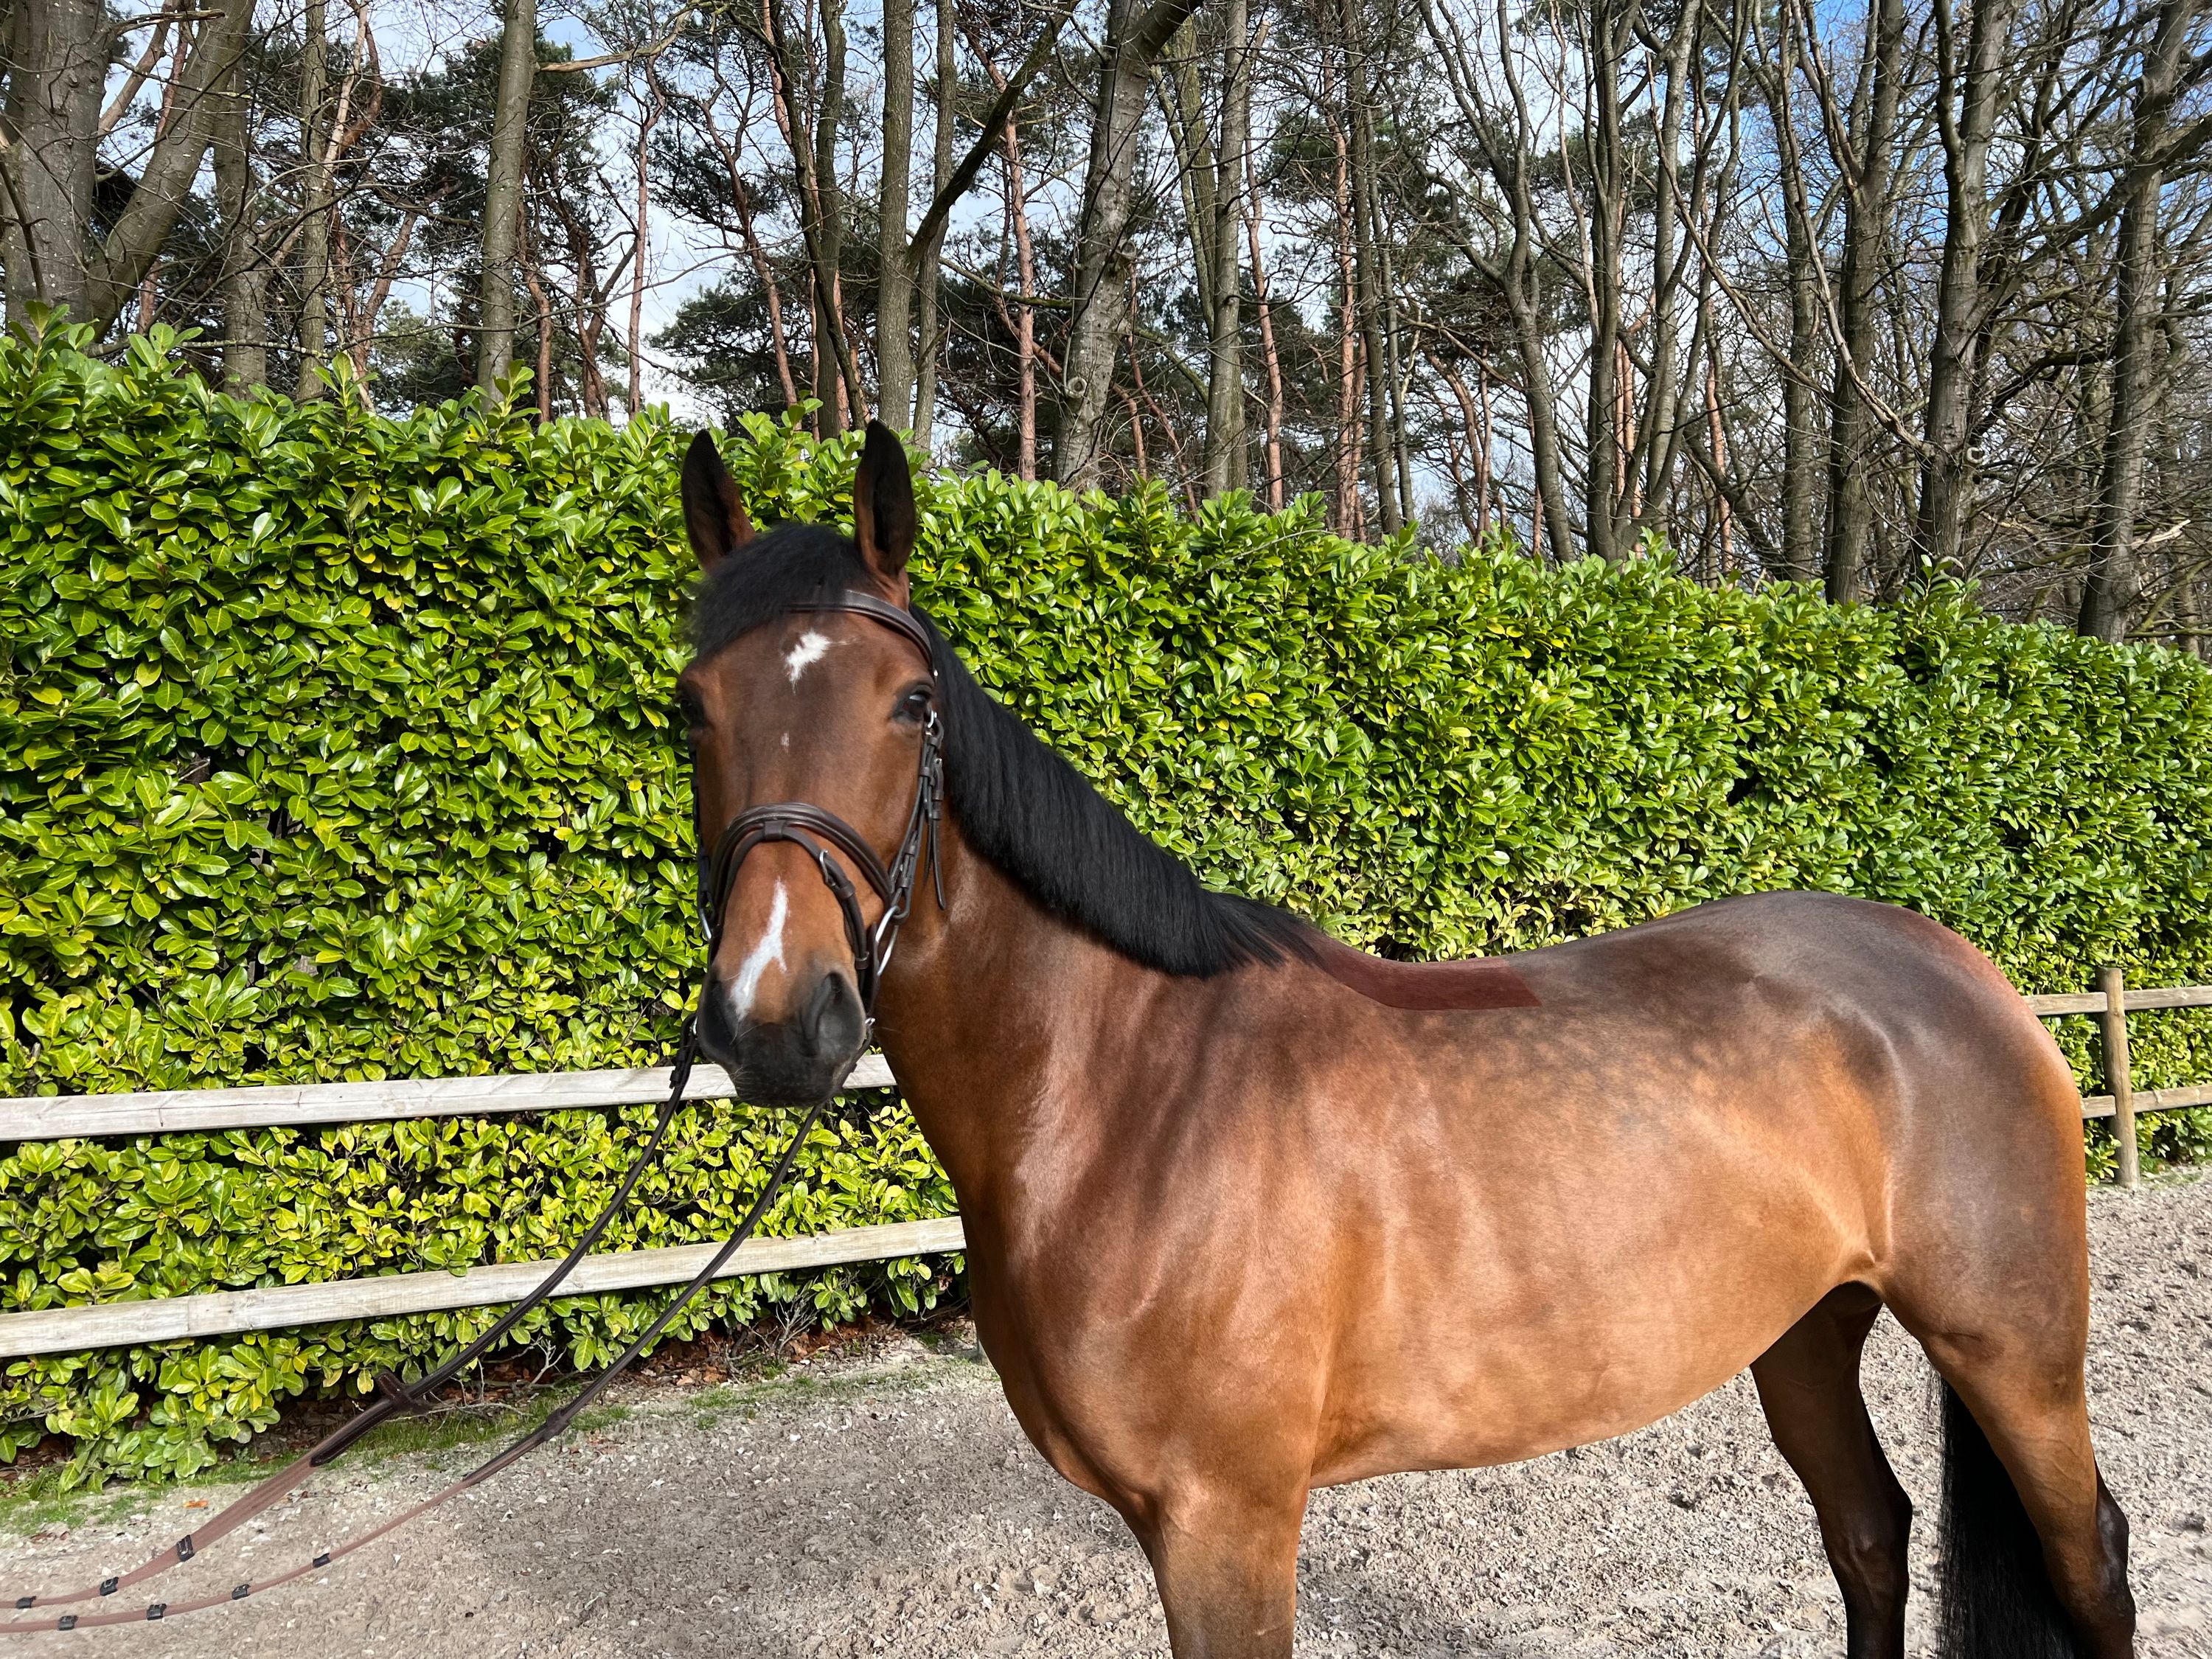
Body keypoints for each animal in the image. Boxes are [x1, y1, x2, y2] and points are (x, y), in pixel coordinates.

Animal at [673, 420, 2135, 1659]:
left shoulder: (1225, 1523)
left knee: (2090, 1566)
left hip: (2015, 1356)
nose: (778, 1019)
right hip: (1805, 1333)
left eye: (912, 703)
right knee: (1869, 1536)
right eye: (691, 705)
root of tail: (1962, 969)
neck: (1124, 1101)